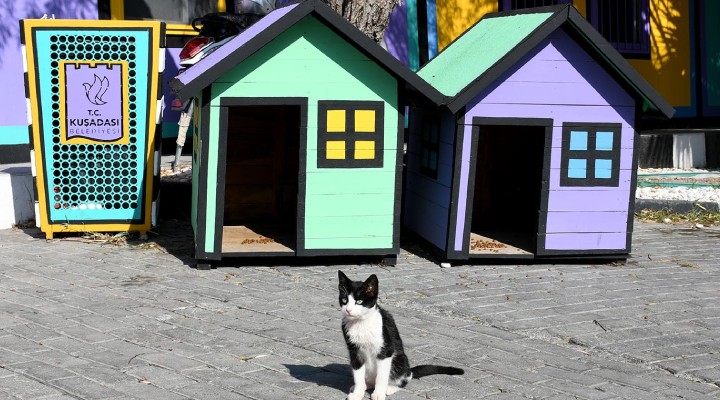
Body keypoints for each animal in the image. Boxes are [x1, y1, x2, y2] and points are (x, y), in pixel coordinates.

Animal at [336, 270, 462, 398]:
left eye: (359, 301)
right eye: (345, 300)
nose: (348, 310)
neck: (361, 323)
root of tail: (409, 369)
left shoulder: (386, 351)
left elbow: (381, 377)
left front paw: (379, 394)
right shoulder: (354, 352)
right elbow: (358, 375)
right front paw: (357, 393)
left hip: (399, 360)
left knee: (405, 378)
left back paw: (390, 388)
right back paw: (365, 385)